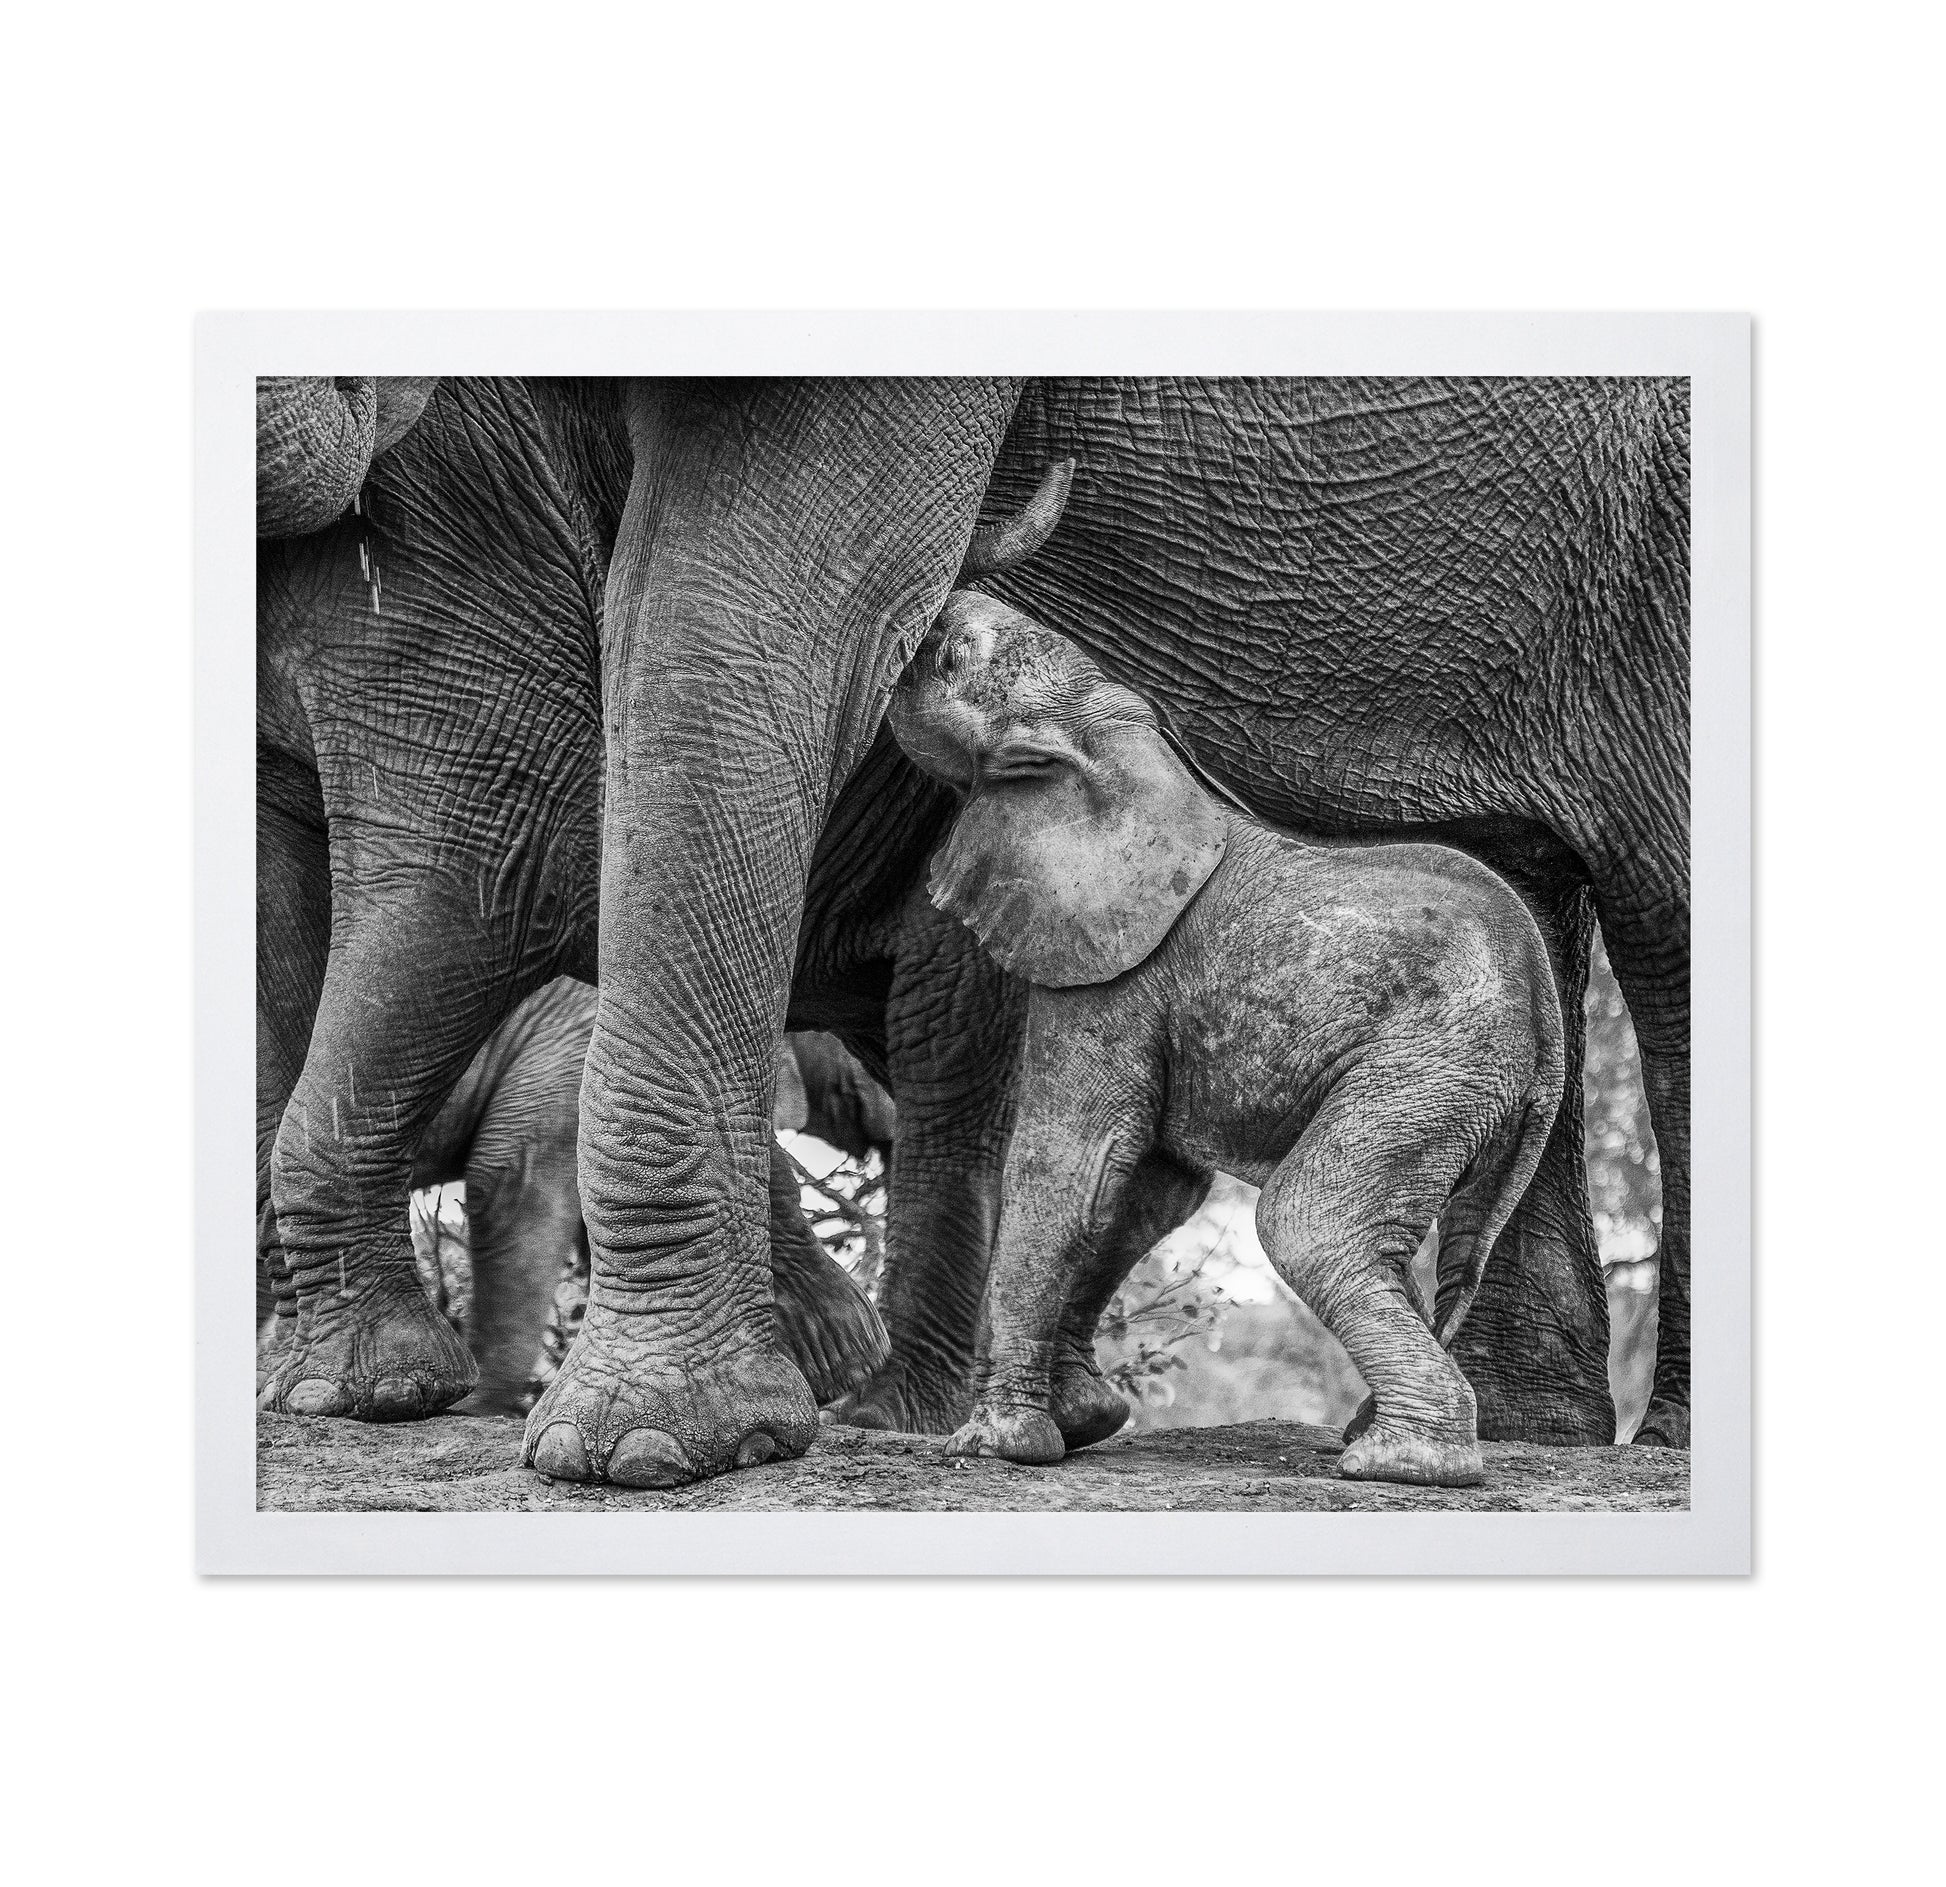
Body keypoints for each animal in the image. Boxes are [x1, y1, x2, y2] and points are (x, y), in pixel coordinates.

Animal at [889, 595, 1565, 1487]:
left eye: (955, 655)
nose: (940, 608)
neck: (1119, 739)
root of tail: (1548, 1015)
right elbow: (1146, 1190)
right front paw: (1085, 1420)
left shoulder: (1116, 973)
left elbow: (1071, 1166)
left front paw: (993, 1446)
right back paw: (1375, 1435)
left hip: (1430, 1065)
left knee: (1308, 1221)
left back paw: (1398, 1461)